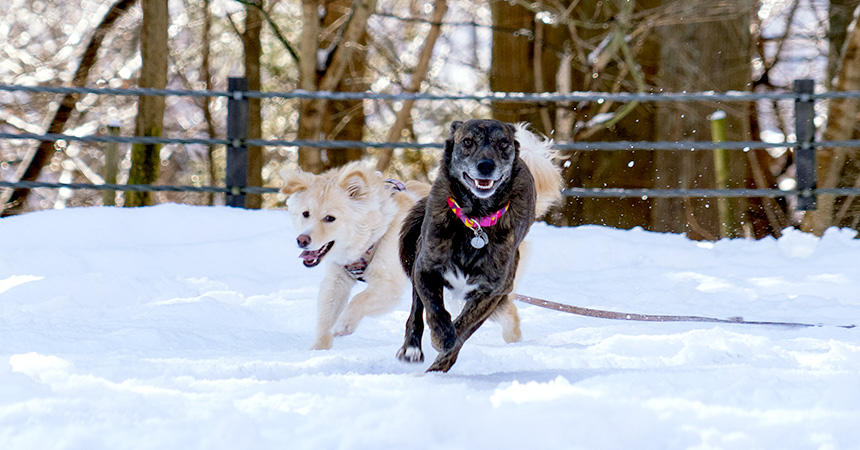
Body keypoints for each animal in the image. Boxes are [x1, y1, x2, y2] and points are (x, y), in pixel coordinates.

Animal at [396, 119, 536, 372]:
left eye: (503, 143)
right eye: (468, 142)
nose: (486, 166)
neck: (475, 219)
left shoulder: (493, 290)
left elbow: (464, 328)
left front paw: (442, 360)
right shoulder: (425, 269)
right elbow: (435, 309)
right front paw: (442, 335)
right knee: (416, 311)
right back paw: (411, 348)